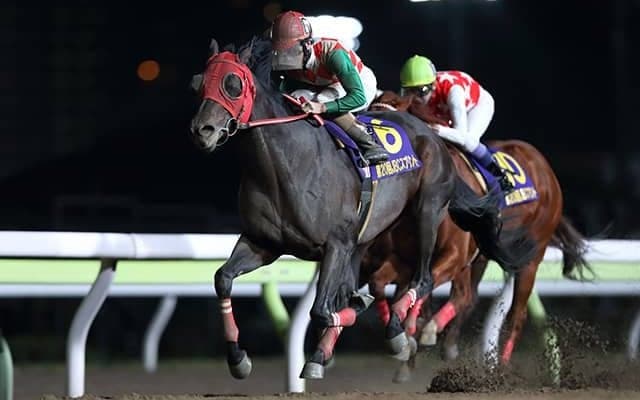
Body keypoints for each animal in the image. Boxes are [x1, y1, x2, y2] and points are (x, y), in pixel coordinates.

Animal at [188, 37, 527, 380]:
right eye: (198, 83)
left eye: (233, 84)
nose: (202, 130)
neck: (284, 165)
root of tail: (429, 134)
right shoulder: (263, 243)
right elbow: (223, 279)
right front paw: (238, 359)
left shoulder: (336, 244)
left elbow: (322, 310)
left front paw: (364, 315)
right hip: (367, 239)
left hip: (427, 211)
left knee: (423, 280)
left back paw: (398, 335)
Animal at [365, 91, 591, 382]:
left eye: (389, 128)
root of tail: (544, 168)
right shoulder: (405, 259)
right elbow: (380, 285)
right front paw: (405, 343)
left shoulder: (454, 256)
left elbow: (426, 287)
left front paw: (419, 333)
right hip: (482, 257)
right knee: (468, 296)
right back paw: (445, 343)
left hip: (530, 258)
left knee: (515, 315)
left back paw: (501, 367)